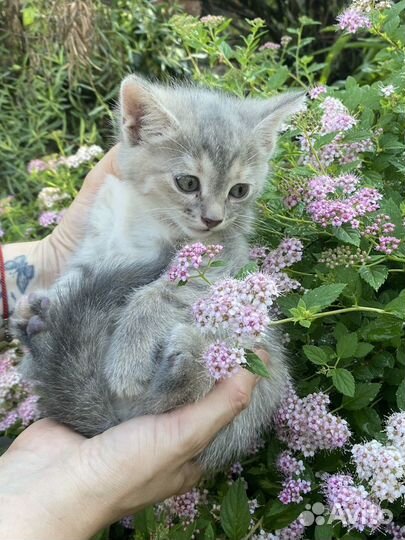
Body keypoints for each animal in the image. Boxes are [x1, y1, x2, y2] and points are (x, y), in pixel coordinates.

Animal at [11, 76, 304, 472]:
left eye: (240, 191)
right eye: (188, 182)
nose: (213, 219)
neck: (146, 215)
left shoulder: (222, 257)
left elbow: (160, 293)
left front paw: (128, 358)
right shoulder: (97, 240)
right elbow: (75, 277)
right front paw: (37, 316)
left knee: (165, 398)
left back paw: (184, 365)